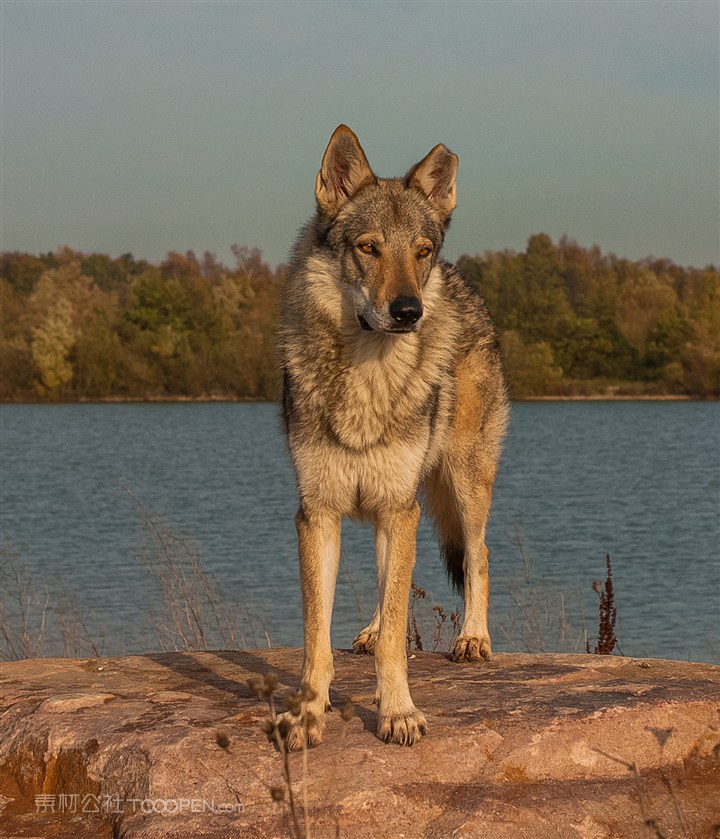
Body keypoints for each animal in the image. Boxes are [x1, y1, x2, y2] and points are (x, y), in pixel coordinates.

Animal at [278, 124, 510, 748]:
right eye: (369, 248)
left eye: (420, 251)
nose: (409, 310)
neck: (367, 377)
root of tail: (463, 283)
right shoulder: (318, 512)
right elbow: (317, 635)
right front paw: (309, 713)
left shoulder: (397, 506)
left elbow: (396, 640)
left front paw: (398, 712)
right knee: (392, 594)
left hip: (458, 484)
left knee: (477, 553)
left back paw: (472, 640)